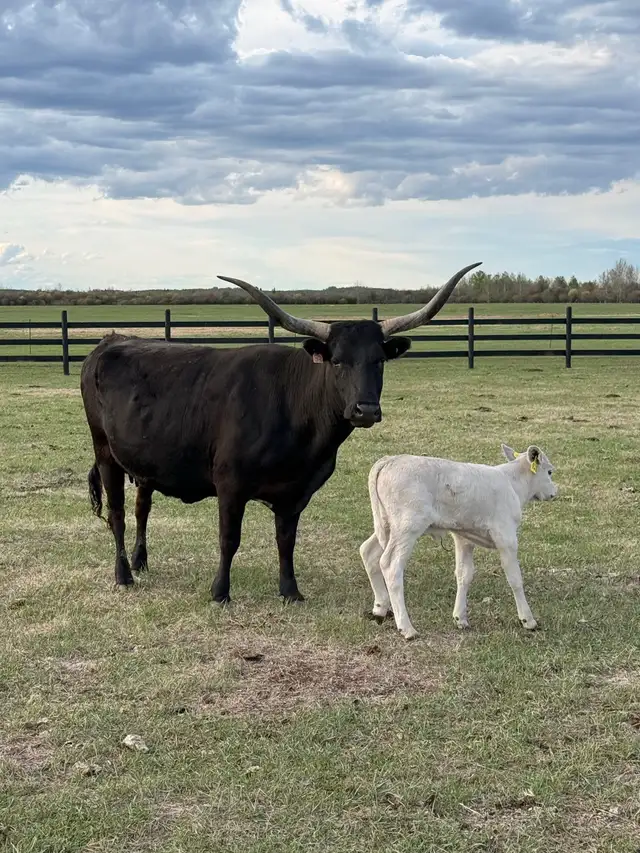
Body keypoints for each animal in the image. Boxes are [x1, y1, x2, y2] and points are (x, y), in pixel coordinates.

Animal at [80, 262, 480, 603]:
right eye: (337, 360)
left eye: (379, 360)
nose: (365, 410)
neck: (292, 408)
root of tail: (109, 341)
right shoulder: (230, 483)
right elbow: (229, 538)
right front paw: (220, 592)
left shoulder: (297, 491)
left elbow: (286, 540)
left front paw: (290, 590)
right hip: (105, 452)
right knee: (117, 513)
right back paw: (123, 575)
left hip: (144, 462)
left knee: (141, 506)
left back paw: (140, 561)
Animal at [359, 443, 557, 639]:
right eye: (549, 472)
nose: (555, 492)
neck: (513, 484)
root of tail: (389, 460)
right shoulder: (506, 537)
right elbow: (515, 578)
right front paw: (528, 620)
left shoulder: (464, 538)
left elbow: (464, 574)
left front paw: (460, 618)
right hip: (407, 527)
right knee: (391, 566)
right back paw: (406, 628)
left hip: (387, 525)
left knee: (368, 551)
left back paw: (380, 608)